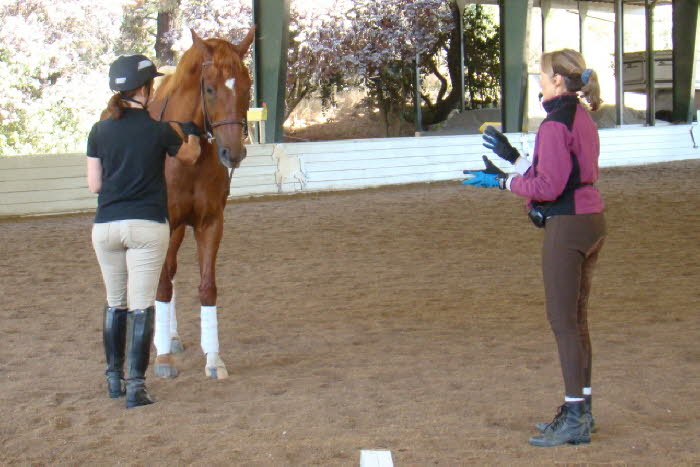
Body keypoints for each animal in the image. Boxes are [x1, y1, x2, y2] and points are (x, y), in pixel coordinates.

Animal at [148, 28, 254, 380]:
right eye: (209, 88)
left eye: (247, 85)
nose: (232, 153)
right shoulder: (164, 225)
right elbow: (161, 286)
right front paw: (163, 359)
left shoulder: (210, 223)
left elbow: (207, 287)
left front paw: (214, 360)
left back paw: (171, 335)